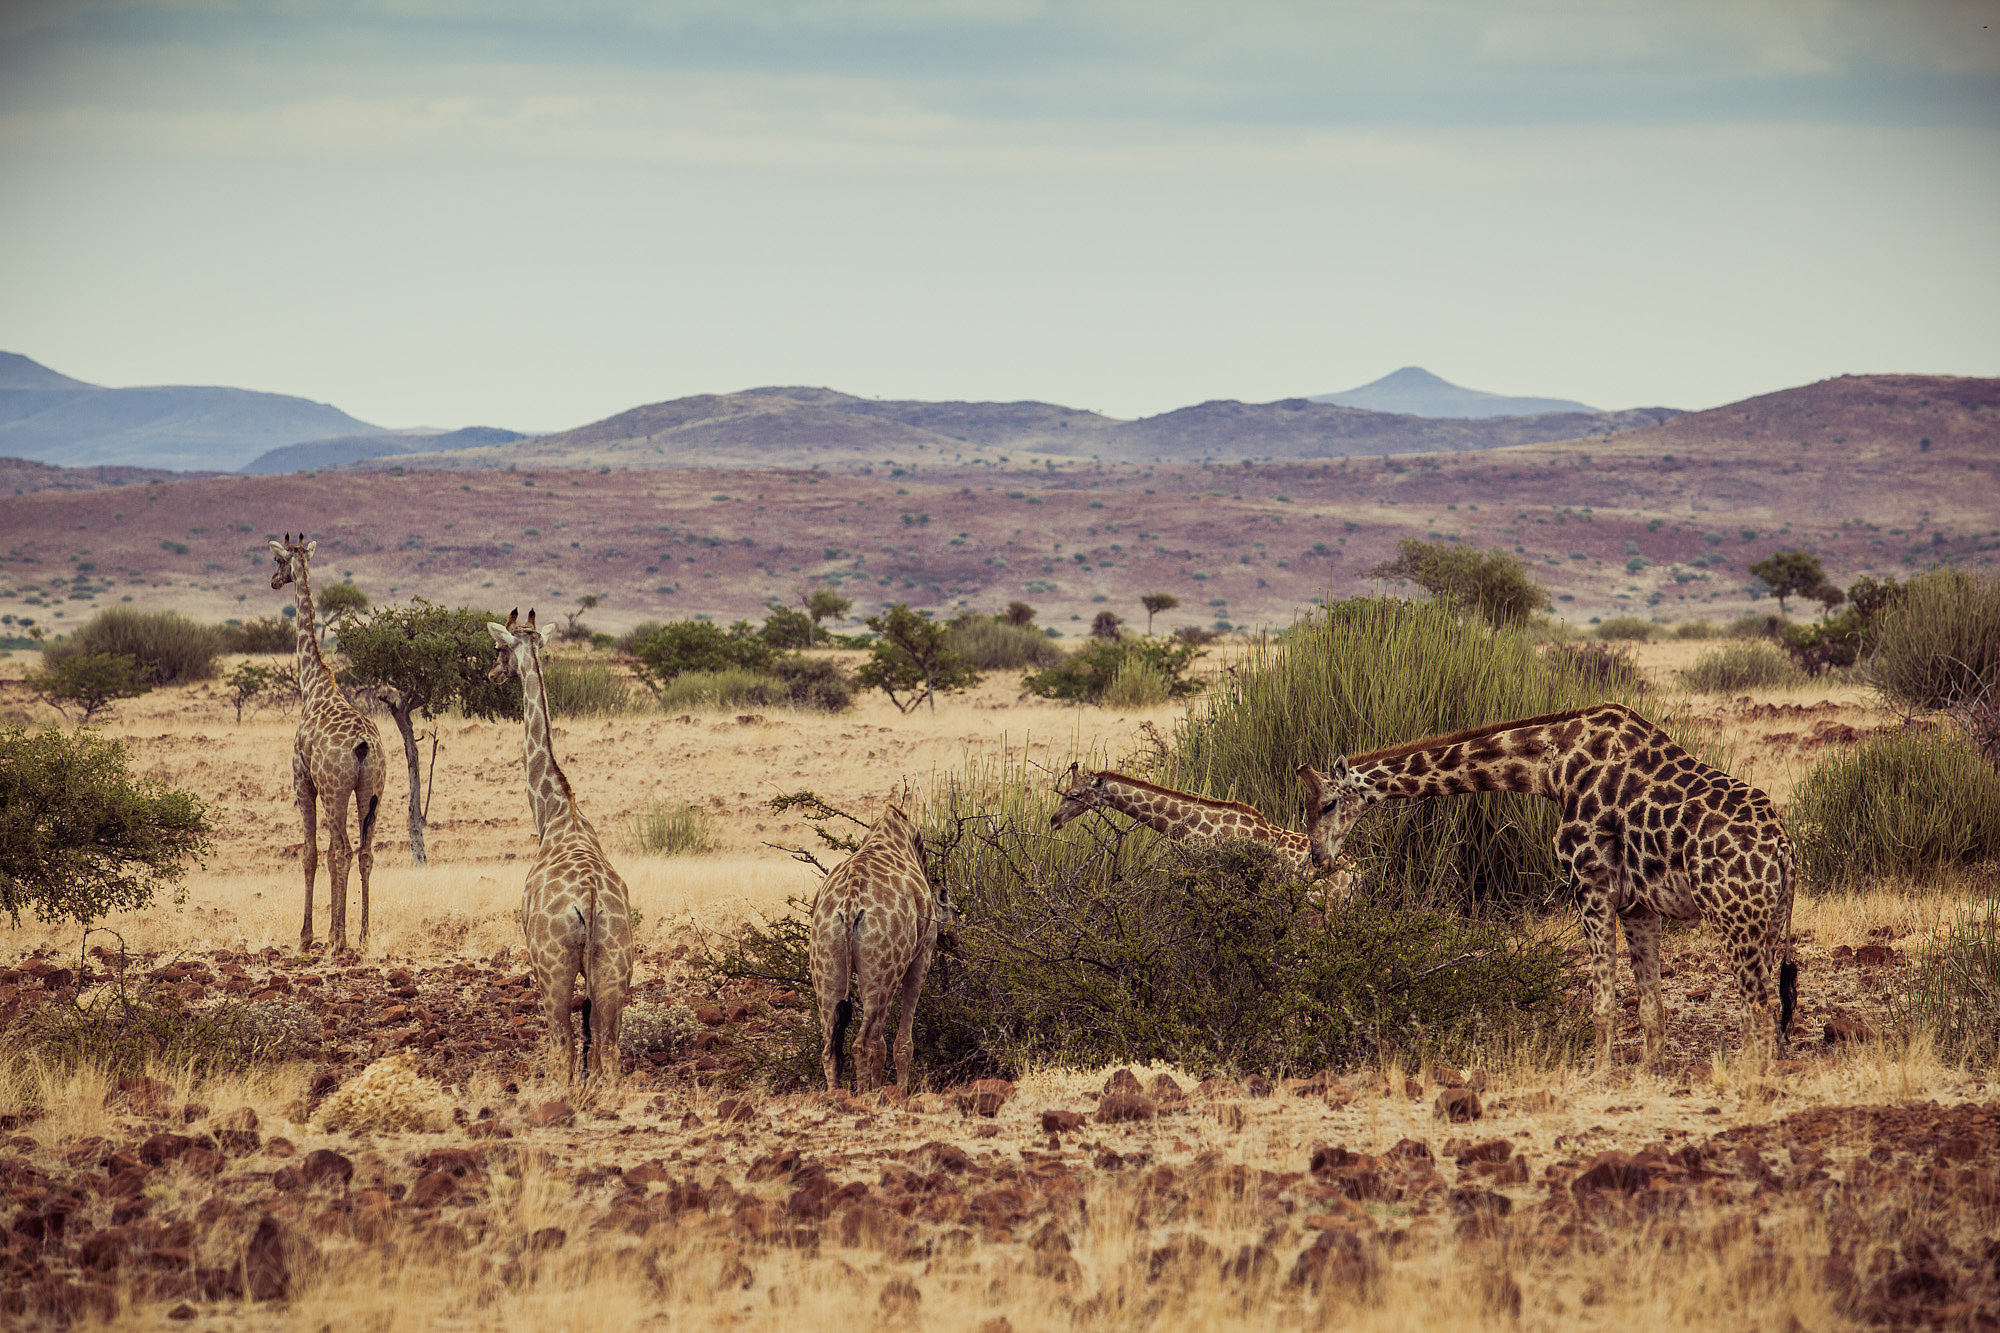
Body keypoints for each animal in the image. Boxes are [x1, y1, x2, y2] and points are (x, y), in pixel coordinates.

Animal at [269, 535, 386, 953]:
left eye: (277, 560)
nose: (274, 581)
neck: (312, 685)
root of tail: (364, 745)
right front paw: (331, 932)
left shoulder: (302, 781)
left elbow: (310, 853)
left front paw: (307, 936)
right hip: (373, 791)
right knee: (365, 852)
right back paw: (363, 937)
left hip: (336, 791)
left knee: (343, 850)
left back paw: (339, 940)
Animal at [486, 609, 633, 1086]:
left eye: (499, 647)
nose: (492, 674)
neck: (555, 811)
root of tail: (588, 901)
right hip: (616, 965)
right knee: (609, 1048)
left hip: (552, 967)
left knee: (561, 1046)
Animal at [810, 802, 951, 1093]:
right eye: (953, 909)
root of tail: (850, 905)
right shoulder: (922, 956)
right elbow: (903, 1044)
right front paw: (900, 1092)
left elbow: (883, 1043)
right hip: (883, 970)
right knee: (863, 1044)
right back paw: (867, 1096)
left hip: (826, 967)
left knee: (831, 1049)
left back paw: (838, 1096)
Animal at [1296, 701, 1797, 1073]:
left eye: (1328, 803)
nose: (1319, 857)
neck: (1551, 768)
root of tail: (1783, 849)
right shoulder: (1637, 904)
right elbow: (1650, 1007)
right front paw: (1647, 1074)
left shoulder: (1590, 885)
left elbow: (1602, 1002)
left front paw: (1598, 1076)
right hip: (1767, 923)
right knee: (1768, 1008)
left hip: (1734, 918)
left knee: (1759, 1006)